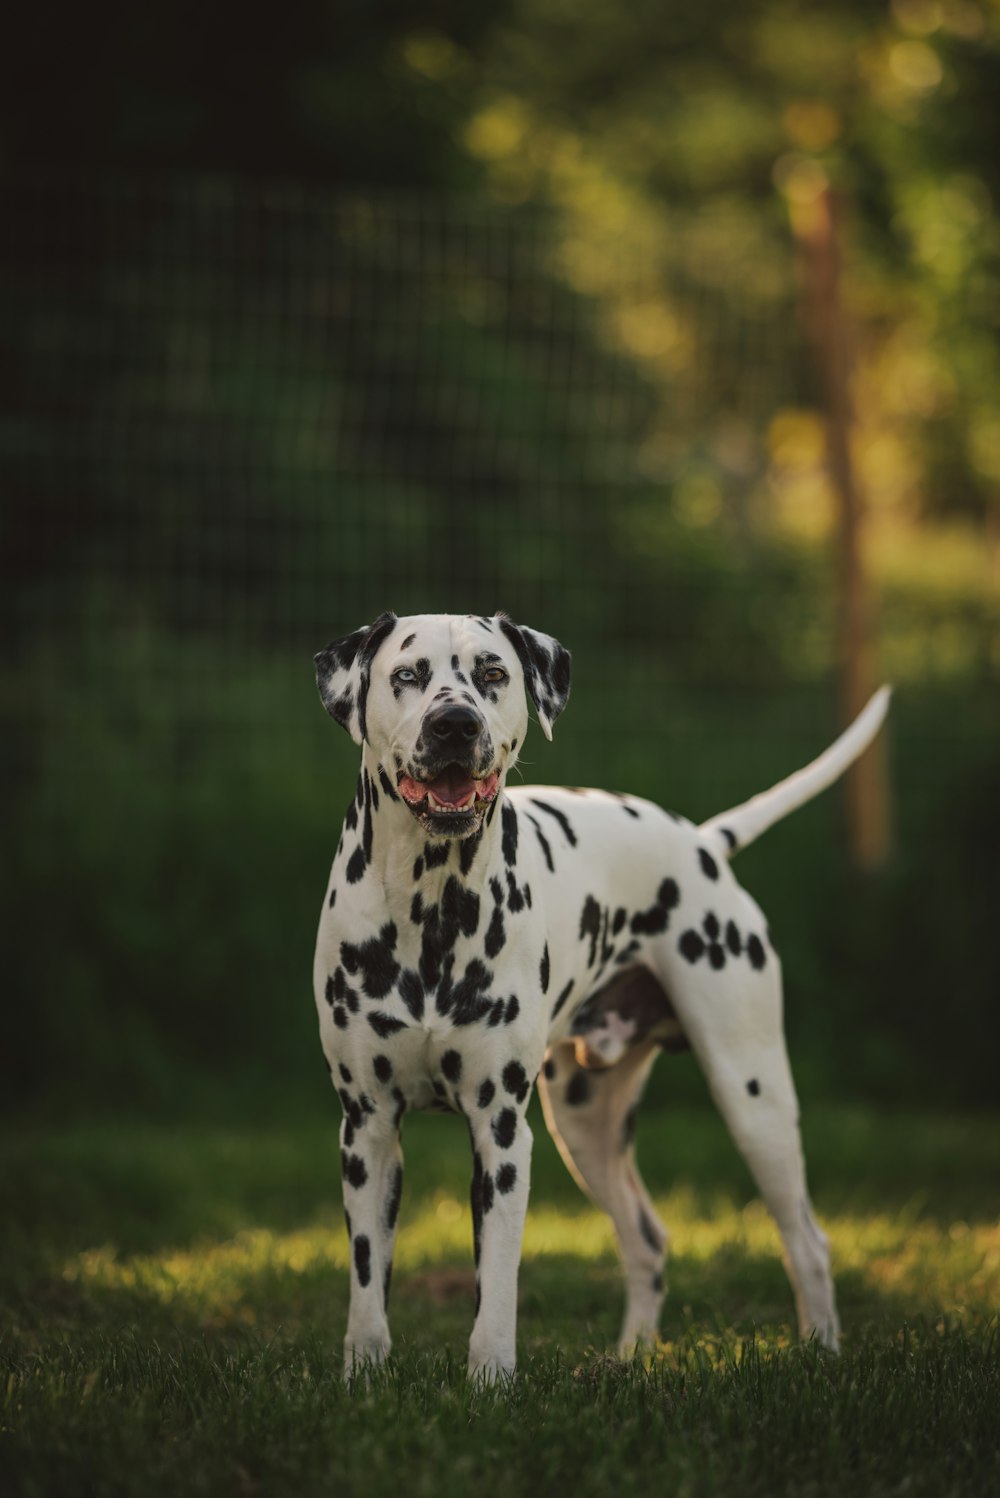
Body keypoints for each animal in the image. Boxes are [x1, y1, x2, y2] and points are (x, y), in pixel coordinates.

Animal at [314, 611, 892, 1378]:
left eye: (492, 672)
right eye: (407, 675)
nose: (455, 724)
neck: (430, 908)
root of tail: (700, 843)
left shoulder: (502, 1133)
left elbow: (497, 1289)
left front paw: (491, 1381)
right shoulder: (369, 1129)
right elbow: (366, 1290)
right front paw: (364, 1379)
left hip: (753, 1098)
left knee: (807, 1242)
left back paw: (820, 1351)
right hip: (588, 1125)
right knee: (647, 1240)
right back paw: (632, 1358)